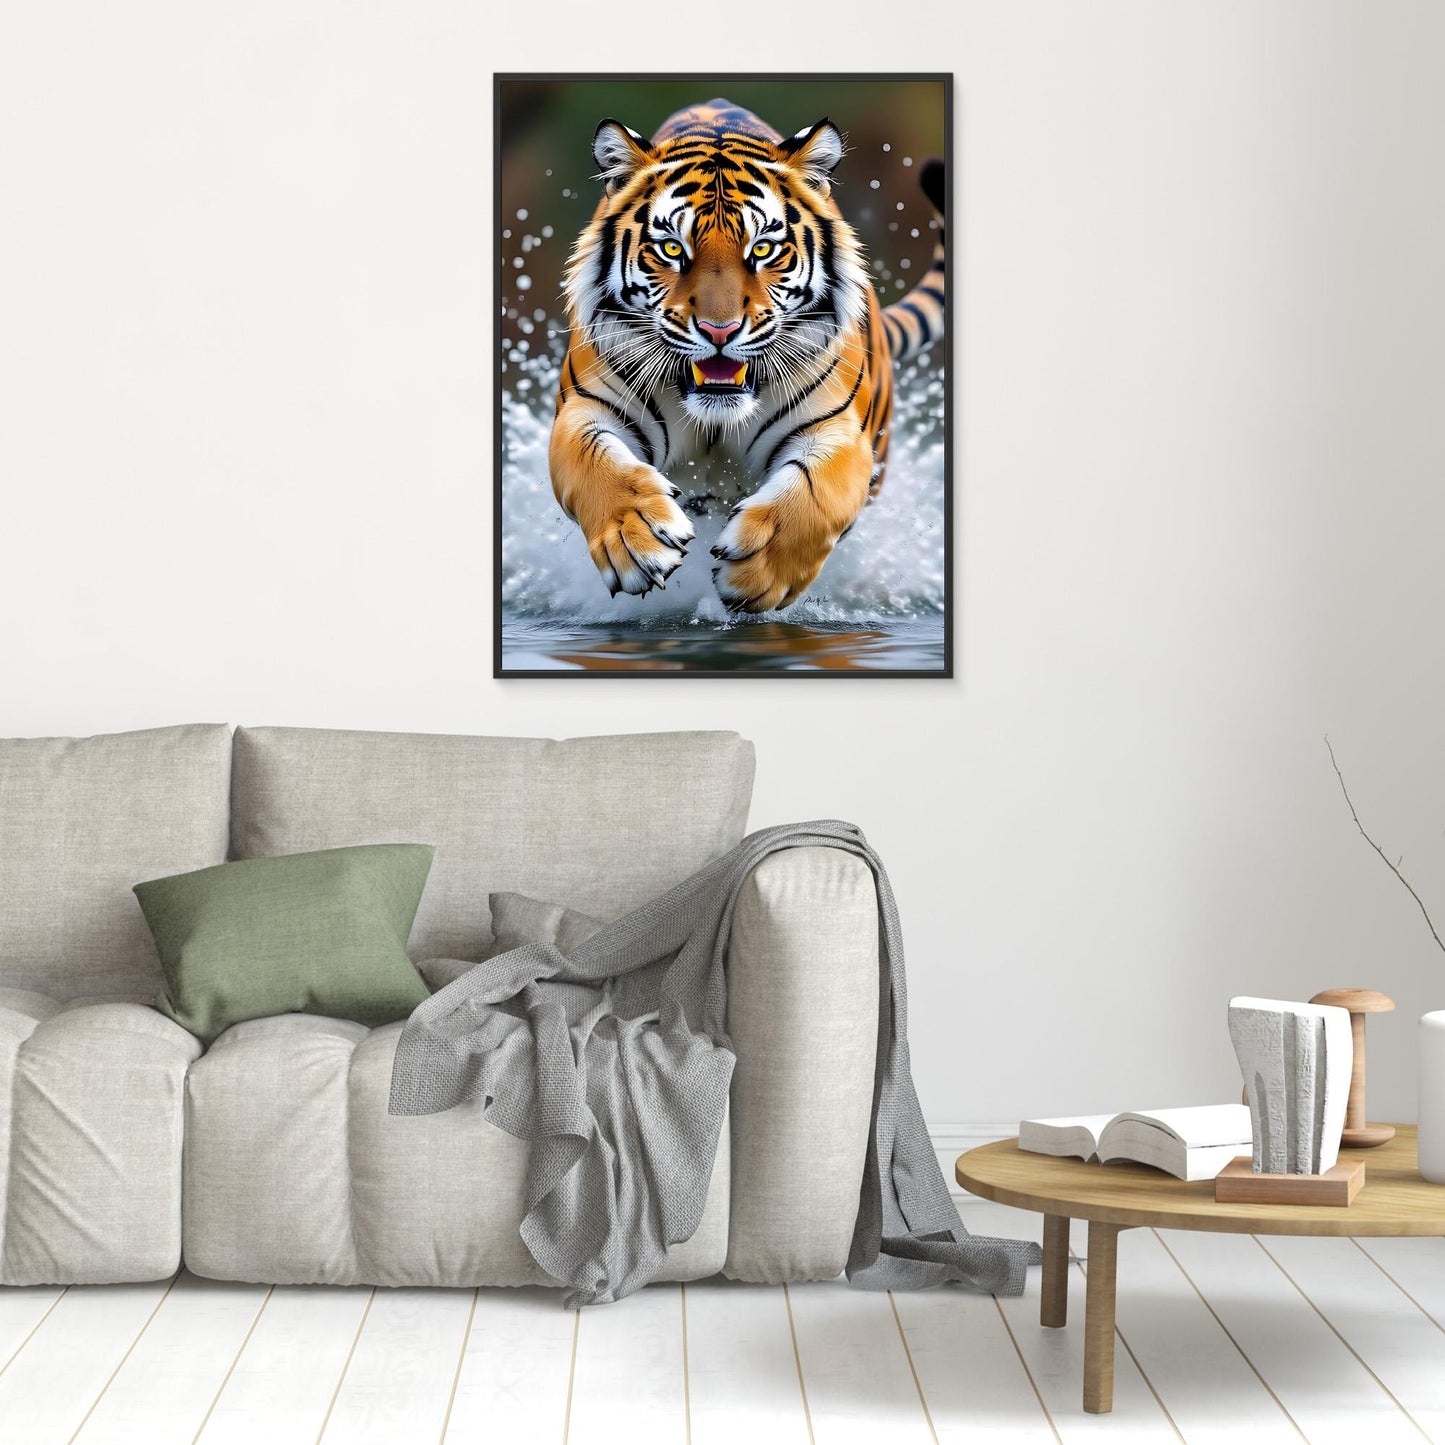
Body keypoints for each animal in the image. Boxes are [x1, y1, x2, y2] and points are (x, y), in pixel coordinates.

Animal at [548, 98, 945, 613]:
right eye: (672, 248)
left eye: (763, 249)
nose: (720, 330)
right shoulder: (583, 408)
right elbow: (596, 465)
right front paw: (636, 539)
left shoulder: (839, 431)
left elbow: (817, 495)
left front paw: (758, 572)